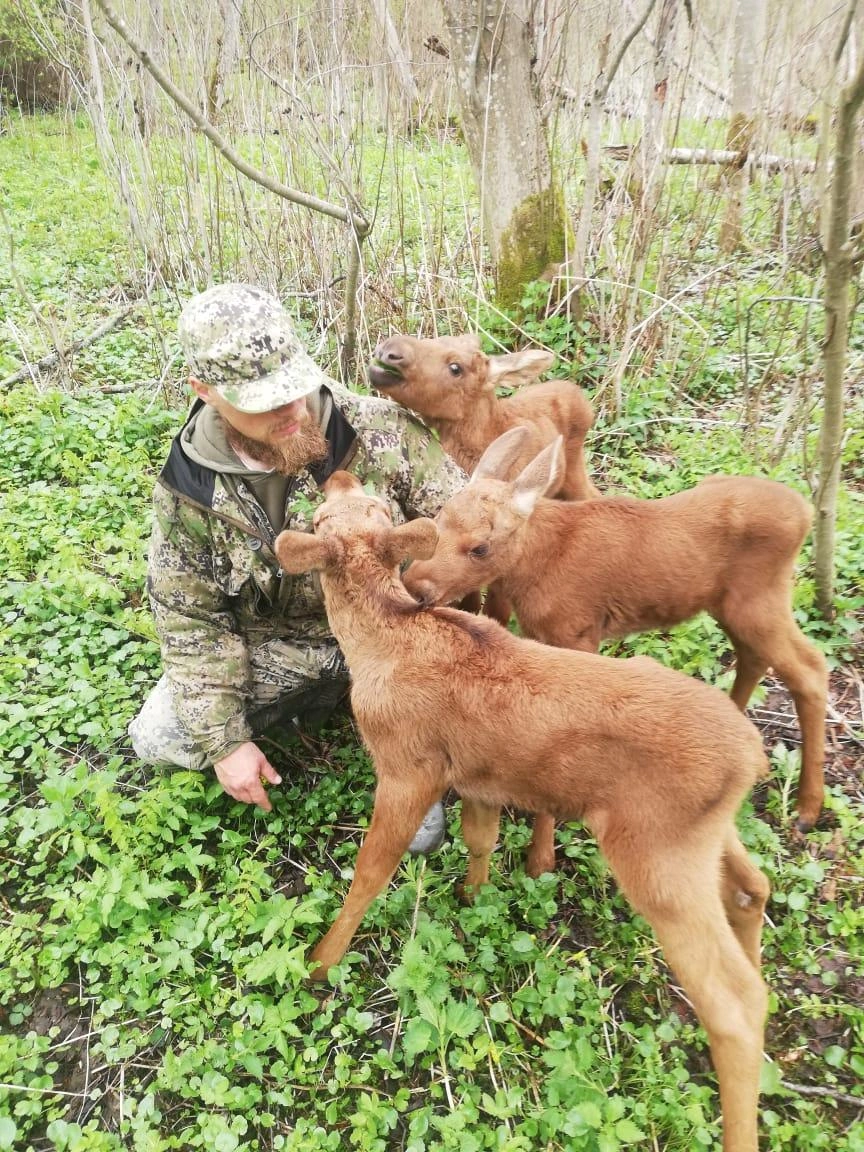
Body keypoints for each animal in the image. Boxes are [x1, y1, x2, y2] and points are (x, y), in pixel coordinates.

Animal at [274, 470, 769, 1152]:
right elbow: (480, 838)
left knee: (735, 1001)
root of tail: (753, 755)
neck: (381, 641)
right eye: (365, 505)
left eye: (323, 519)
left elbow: (371, 871)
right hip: (702, 836)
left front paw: (319, 964)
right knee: (753, 889)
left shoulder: (408, 768)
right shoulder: (479, 777)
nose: (338, 473)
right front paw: (471, 899)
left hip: (655, 853)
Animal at [405, 426, 834, 838]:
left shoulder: (579, 634)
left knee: (811, 668)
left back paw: (808, 809)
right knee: (754, 657)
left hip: (759, 601)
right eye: (437, 520)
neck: (535, 567)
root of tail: (804, 512)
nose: (414, 585)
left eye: (480, 547)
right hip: (730, 605)